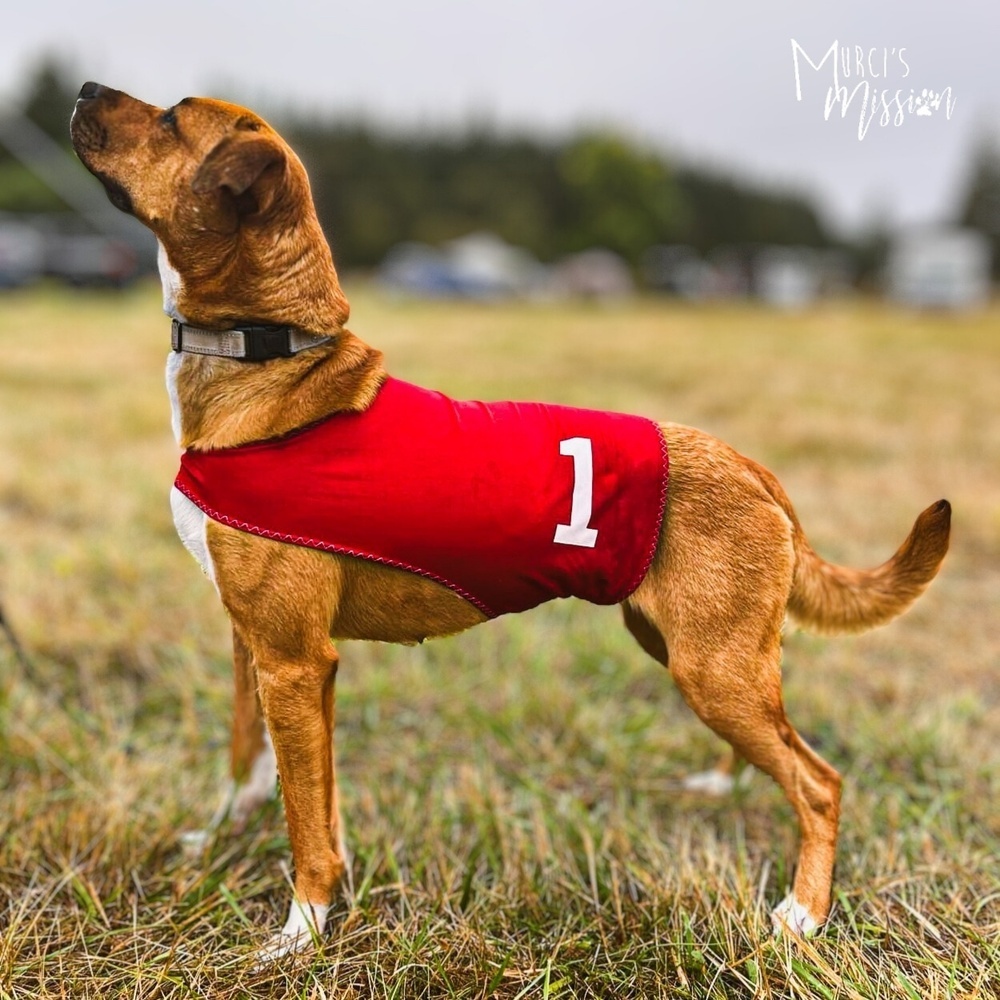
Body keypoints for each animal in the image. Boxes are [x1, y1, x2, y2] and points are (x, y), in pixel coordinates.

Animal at [72, 84, 952, 960]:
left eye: (172, 120)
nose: (80, 92)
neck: (270, 357)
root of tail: (752, 468)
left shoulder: (293, 660)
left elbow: (307, 823)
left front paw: (302, 930)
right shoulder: (255, 644)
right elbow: (261, 764)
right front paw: (224, 834)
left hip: (712, 670)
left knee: (819, 782)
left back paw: (804, 912)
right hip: (693, 650)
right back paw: (725, 788)